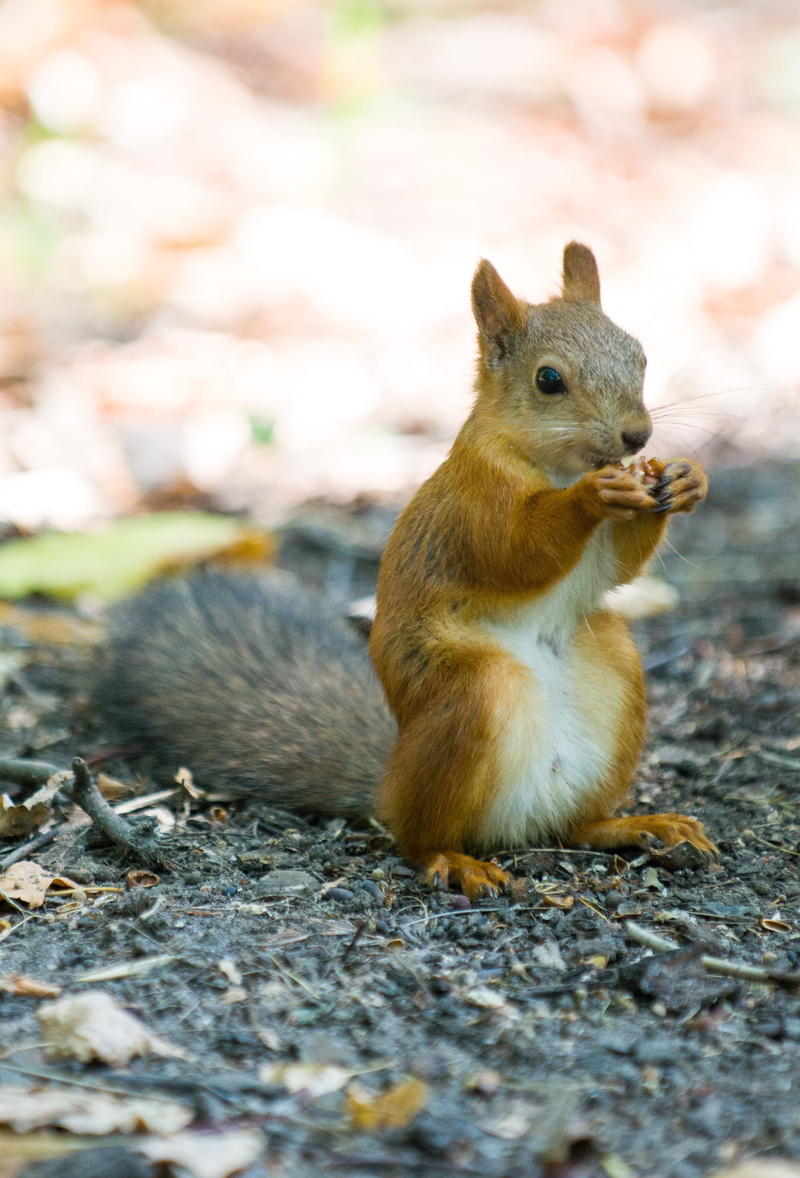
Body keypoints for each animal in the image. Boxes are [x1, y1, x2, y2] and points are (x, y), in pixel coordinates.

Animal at [98, 243, 716, 899]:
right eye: (549, 380)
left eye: (640, 354)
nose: (637, 435)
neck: (555, 464)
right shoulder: (475, 502)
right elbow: (518, 551)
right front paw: (593, 496)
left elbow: (619, 564)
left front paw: (686, 479)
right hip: (470, 694)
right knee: (418, 836)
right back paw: (454, 859)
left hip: (613, 667)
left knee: (577, 825)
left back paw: (637, 825)